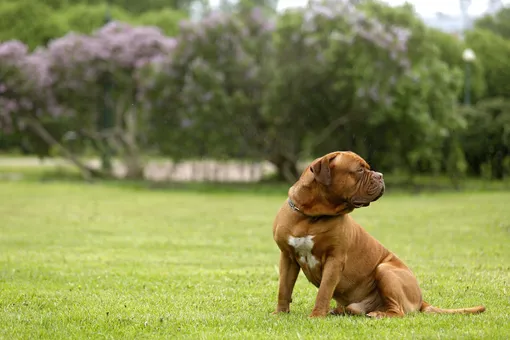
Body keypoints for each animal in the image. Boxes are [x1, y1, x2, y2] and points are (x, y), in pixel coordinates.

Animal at [270, 151, 486, 318]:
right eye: (359, 170)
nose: (380, 175)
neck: (311, 216)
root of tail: (421, 300)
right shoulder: (287, 257)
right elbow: (284, 288)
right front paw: (280, 313)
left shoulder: (334, 259)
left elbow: (324, 291)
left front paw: (316, 315)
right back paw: (341, 311)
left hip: (385, 269)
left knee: (398, 311)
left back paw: (378, 314)